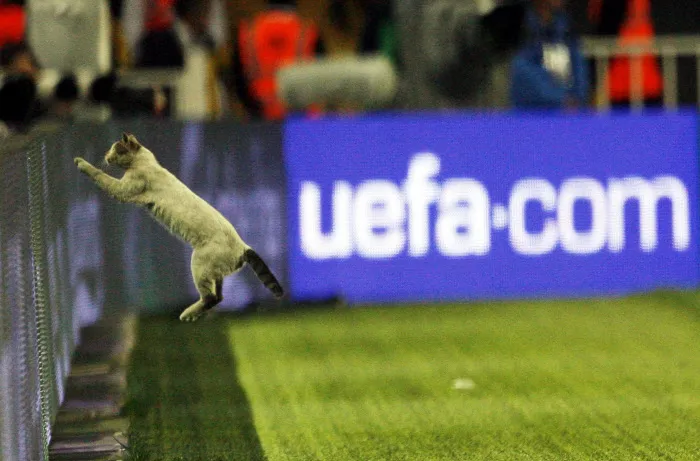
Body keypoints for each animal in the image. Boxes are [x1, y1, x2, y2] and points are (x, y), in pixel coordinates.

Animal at [74, 132, 284, 320]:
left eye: (114, 148)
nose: (106, 155)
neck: (144, 161)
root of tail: (244, 247)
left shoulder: (123, 189)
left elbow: (100, 175)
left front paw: (80, 162)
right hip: (215, 272)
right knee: (219, 296)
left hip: (198, 264)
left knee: (211, 298)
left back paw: (186, 315)